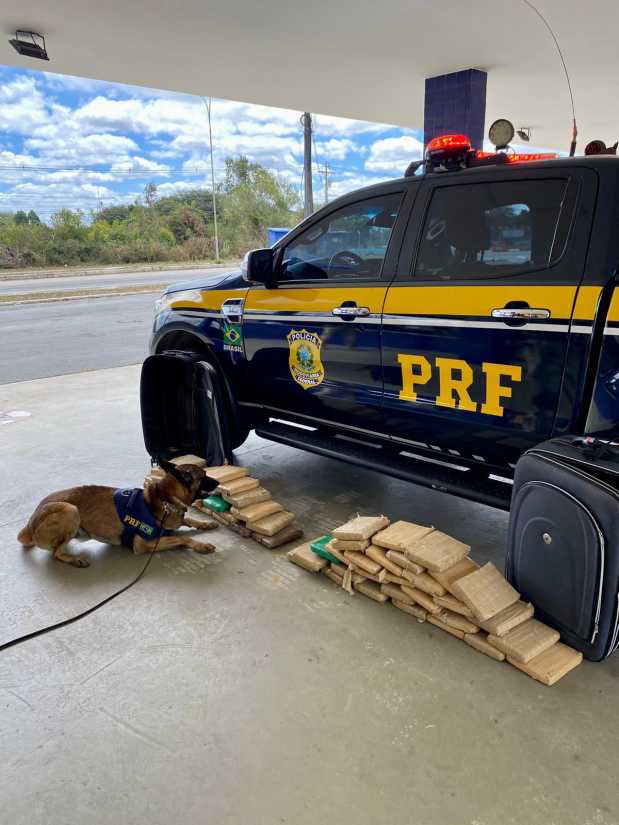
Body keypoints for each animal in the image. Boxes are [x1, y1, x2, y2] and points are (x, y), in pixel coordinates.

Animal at [17, 460, 218, 564]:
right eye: (203, 476)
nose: (217, 482)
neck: (163, 498)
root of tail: (30, 523)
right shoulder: (144, 543)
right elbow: (182, 537)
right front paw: (201, 545)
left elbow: (189, 520)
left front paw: (205, 523)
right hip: (70, 509)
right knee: (55, 554)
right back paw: (74, 559)